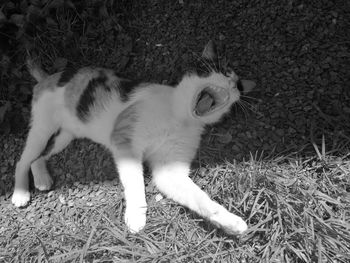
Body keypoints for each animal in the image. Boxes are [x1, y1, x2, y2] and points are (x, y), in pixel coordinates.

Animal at [12, 40, 256, 235]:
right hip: (43, 125)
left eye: (239, 85)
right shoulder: (123, 139)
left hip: (66, 135)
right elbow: (135, 181)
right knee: (23, 159)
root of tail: (49, 77)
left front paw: (231, 222)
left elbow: (199, 197)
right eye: (219, 70)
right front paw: (137, 216)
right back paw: (20, 193)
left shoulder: (170, 169)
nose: (233, 84)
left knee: (39, 157)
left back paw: (42, 178)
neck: (180, 117)